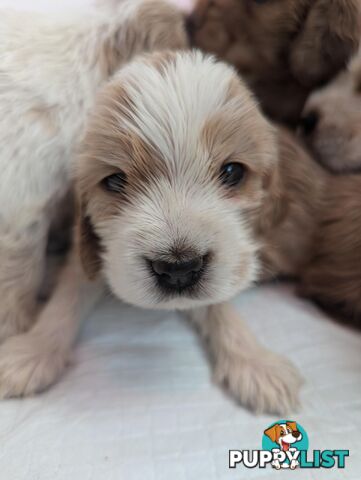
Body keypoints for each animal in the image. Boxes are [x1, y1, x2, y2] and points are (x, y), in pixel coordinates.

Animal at [0, 50, 340, 414]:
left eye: (233, 172)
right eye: (114, 181)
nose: (178, 269)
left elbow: (219, 305)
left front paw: (254, 363)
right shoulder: (93, 251)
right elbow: (68, 295)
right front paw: (32, 352)